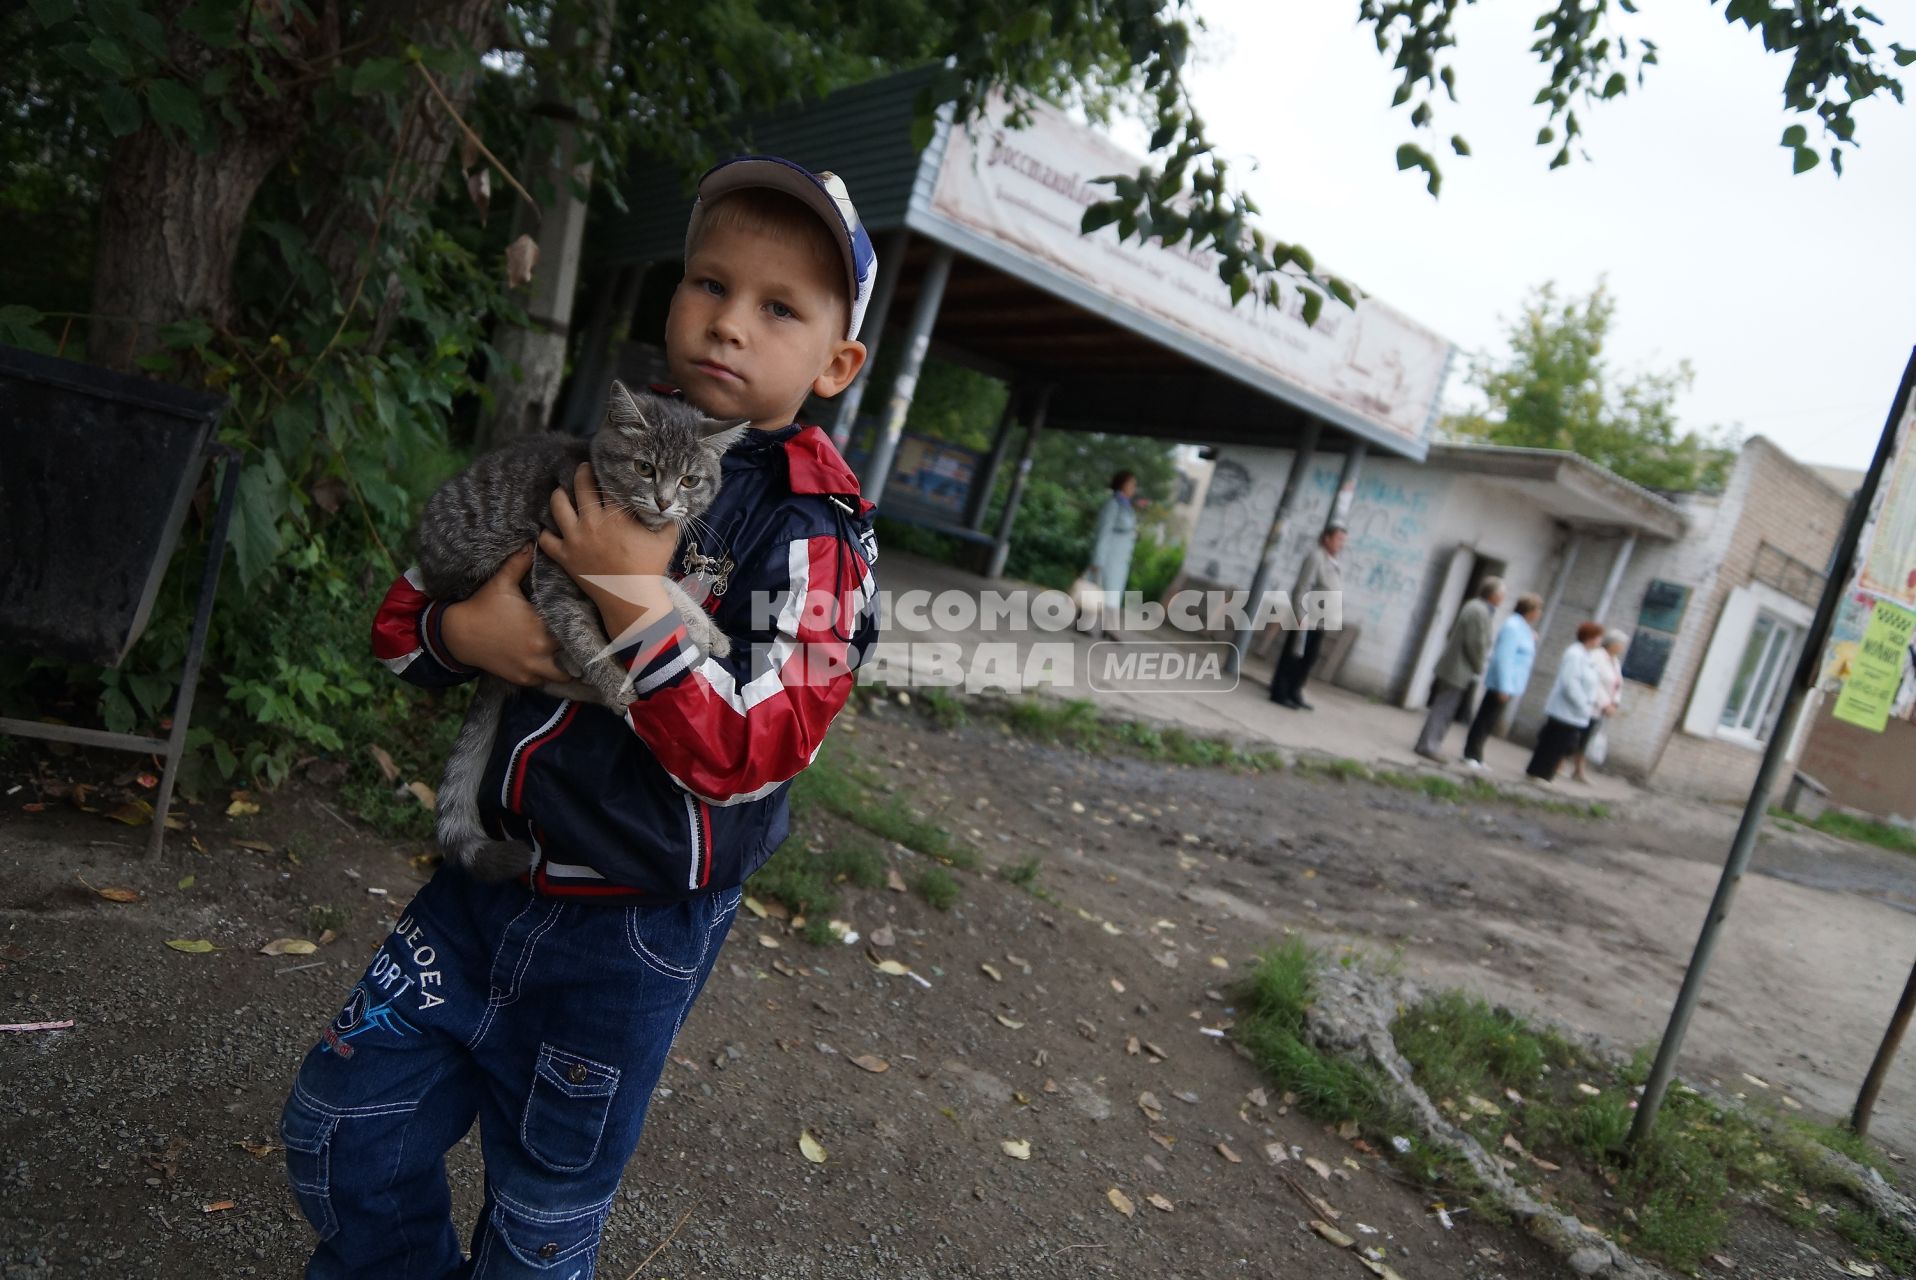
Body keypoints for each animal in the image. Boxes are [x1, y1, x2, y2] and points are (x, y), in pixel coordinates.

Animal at [415, 379, 743, 881]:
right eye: (644, 468)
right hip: (495, 561)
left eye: (690, 480)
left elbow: (663, 584)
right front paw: (619, 684)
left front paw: (704, 625)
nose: (664, 501)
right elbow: (584, 634)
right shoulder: (554, 573)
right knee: (558, 665)